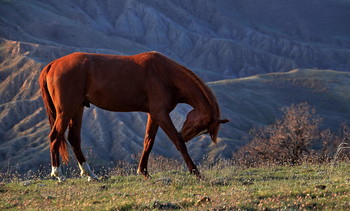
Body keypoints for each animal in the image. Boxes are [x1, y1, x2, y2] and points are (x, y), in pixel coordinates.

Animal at [39, 51, 228, 181]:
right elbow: (178, 143)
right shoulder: (161, 114)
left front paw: (143, 172)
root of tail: (52, 65)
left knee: (74, 139)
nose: (185, 135)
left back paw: (90, 174)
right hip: (66, 110)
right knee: (55, 136)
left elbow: (148, 142)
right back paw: (58, 174)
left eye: (203, 131)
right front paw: (196, 172)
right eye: (197, 126)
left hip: (77, 108)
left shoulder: (154, 115)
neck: (164, 74)